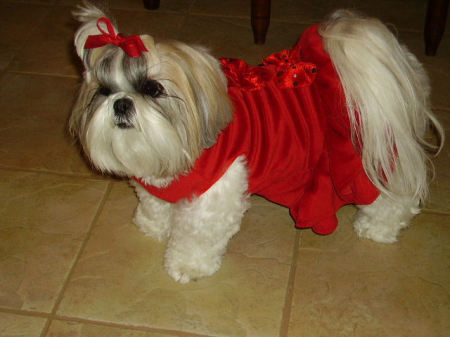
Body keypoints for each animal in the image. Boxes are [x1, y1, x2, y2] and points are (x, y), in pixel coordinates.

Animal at [70, 1, 442, 282]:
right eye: (103, 90)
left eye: (152, 88)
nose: (120, 103)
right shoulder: (157, 186)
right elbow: (154, 204)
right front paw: (152, 226)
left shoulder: (215, 198)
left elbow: (197, 236)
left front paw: (188, 265)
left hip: (367, 155)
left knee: (395, 194)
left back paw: (379, 227)